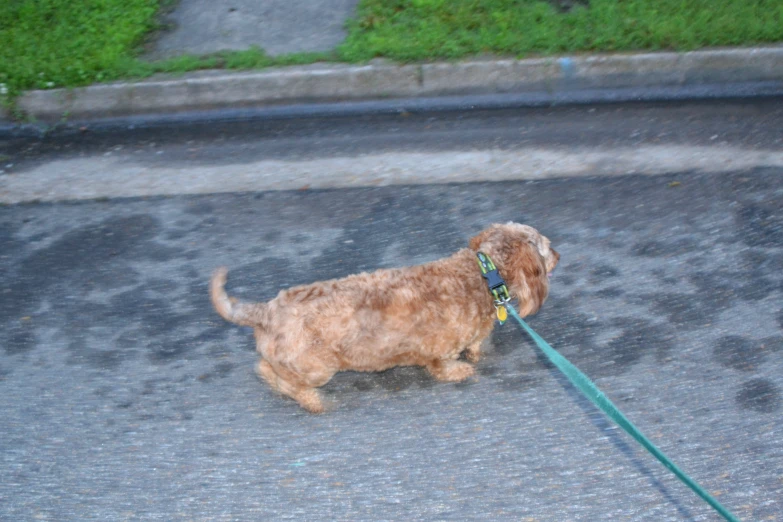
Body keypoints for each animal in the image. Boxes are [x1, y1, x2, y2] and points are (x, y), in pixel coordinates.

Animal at [211, 221, 560, 412]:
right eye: (547, 245)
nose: (559, 254)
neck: (482, 273)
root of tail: (267, 310)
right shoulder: (439, 352)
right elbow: (443, 367)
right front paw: (460, 370)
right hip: (315, 368)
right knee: (278, 377)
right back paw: (313, 401)